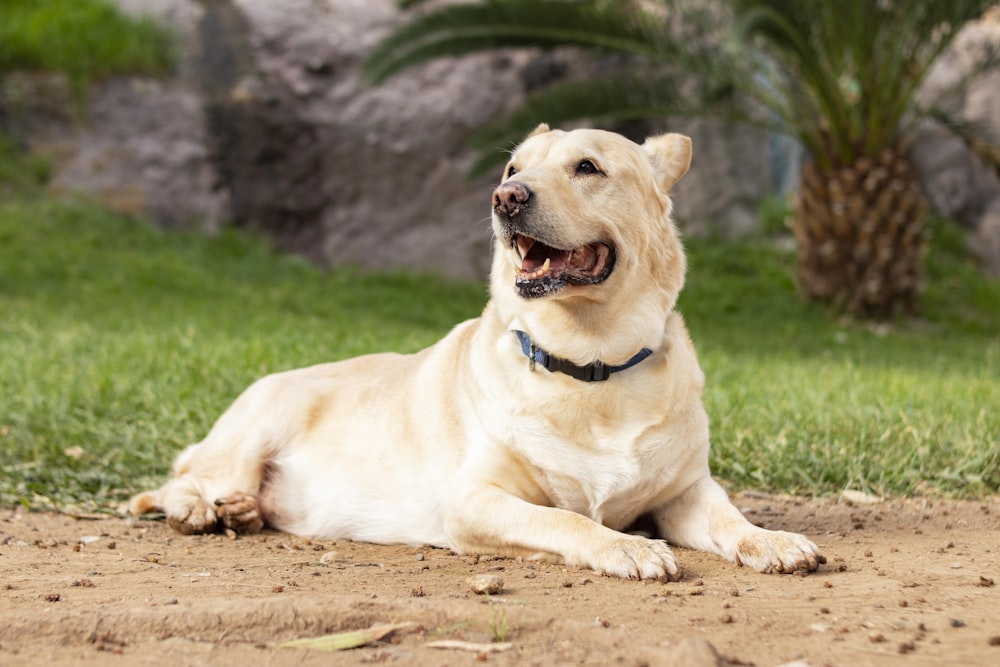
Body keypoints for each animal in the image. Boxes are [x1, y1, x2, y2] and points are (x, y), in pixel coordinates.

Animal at [131, 125, 828, 580]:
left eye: (588, 167)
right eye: (512, 169)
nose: (505, 199)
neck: (591, 366)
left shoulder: (685, 494)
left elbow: (731, 518)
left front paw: (771, 540)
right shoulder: (474, 500)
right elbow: (570, 522)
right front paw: (626, 548)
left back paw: (243, 512)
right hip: (258, 421)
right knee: (173, 483)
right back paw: (202, 510)